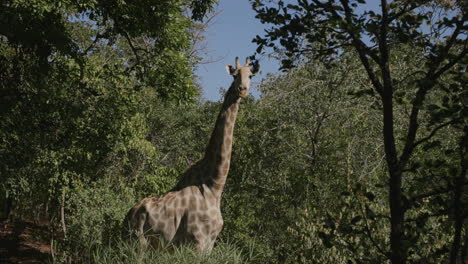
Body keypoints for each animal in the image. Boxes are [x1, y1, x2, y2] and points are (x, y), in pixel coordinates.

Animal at [122, 56, 258, 251]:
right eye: (235, 75)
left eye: (251, 75)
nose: (242, 90)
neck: (214, 186)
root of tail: (126, 217)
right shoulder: (197, 241)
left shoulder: (210, 243)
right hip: (138, 243)